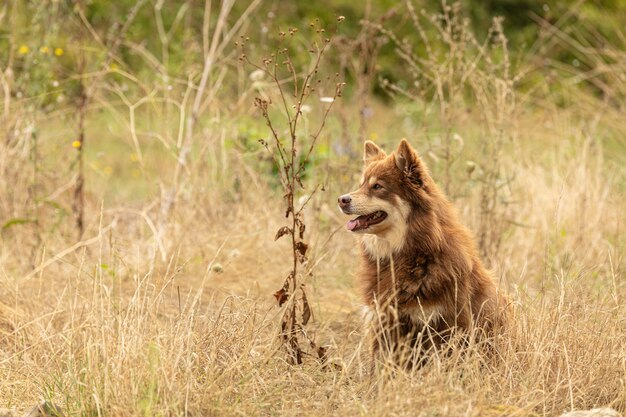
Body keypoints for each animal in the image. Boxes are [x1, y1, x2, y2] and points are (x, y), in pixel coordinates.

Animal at [336, 140, 508, 364]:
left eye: (377, 186)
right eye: (361, 184)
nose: (342, 199)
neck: (408, 254)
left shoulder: (447, 321)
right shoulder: (384, 321)